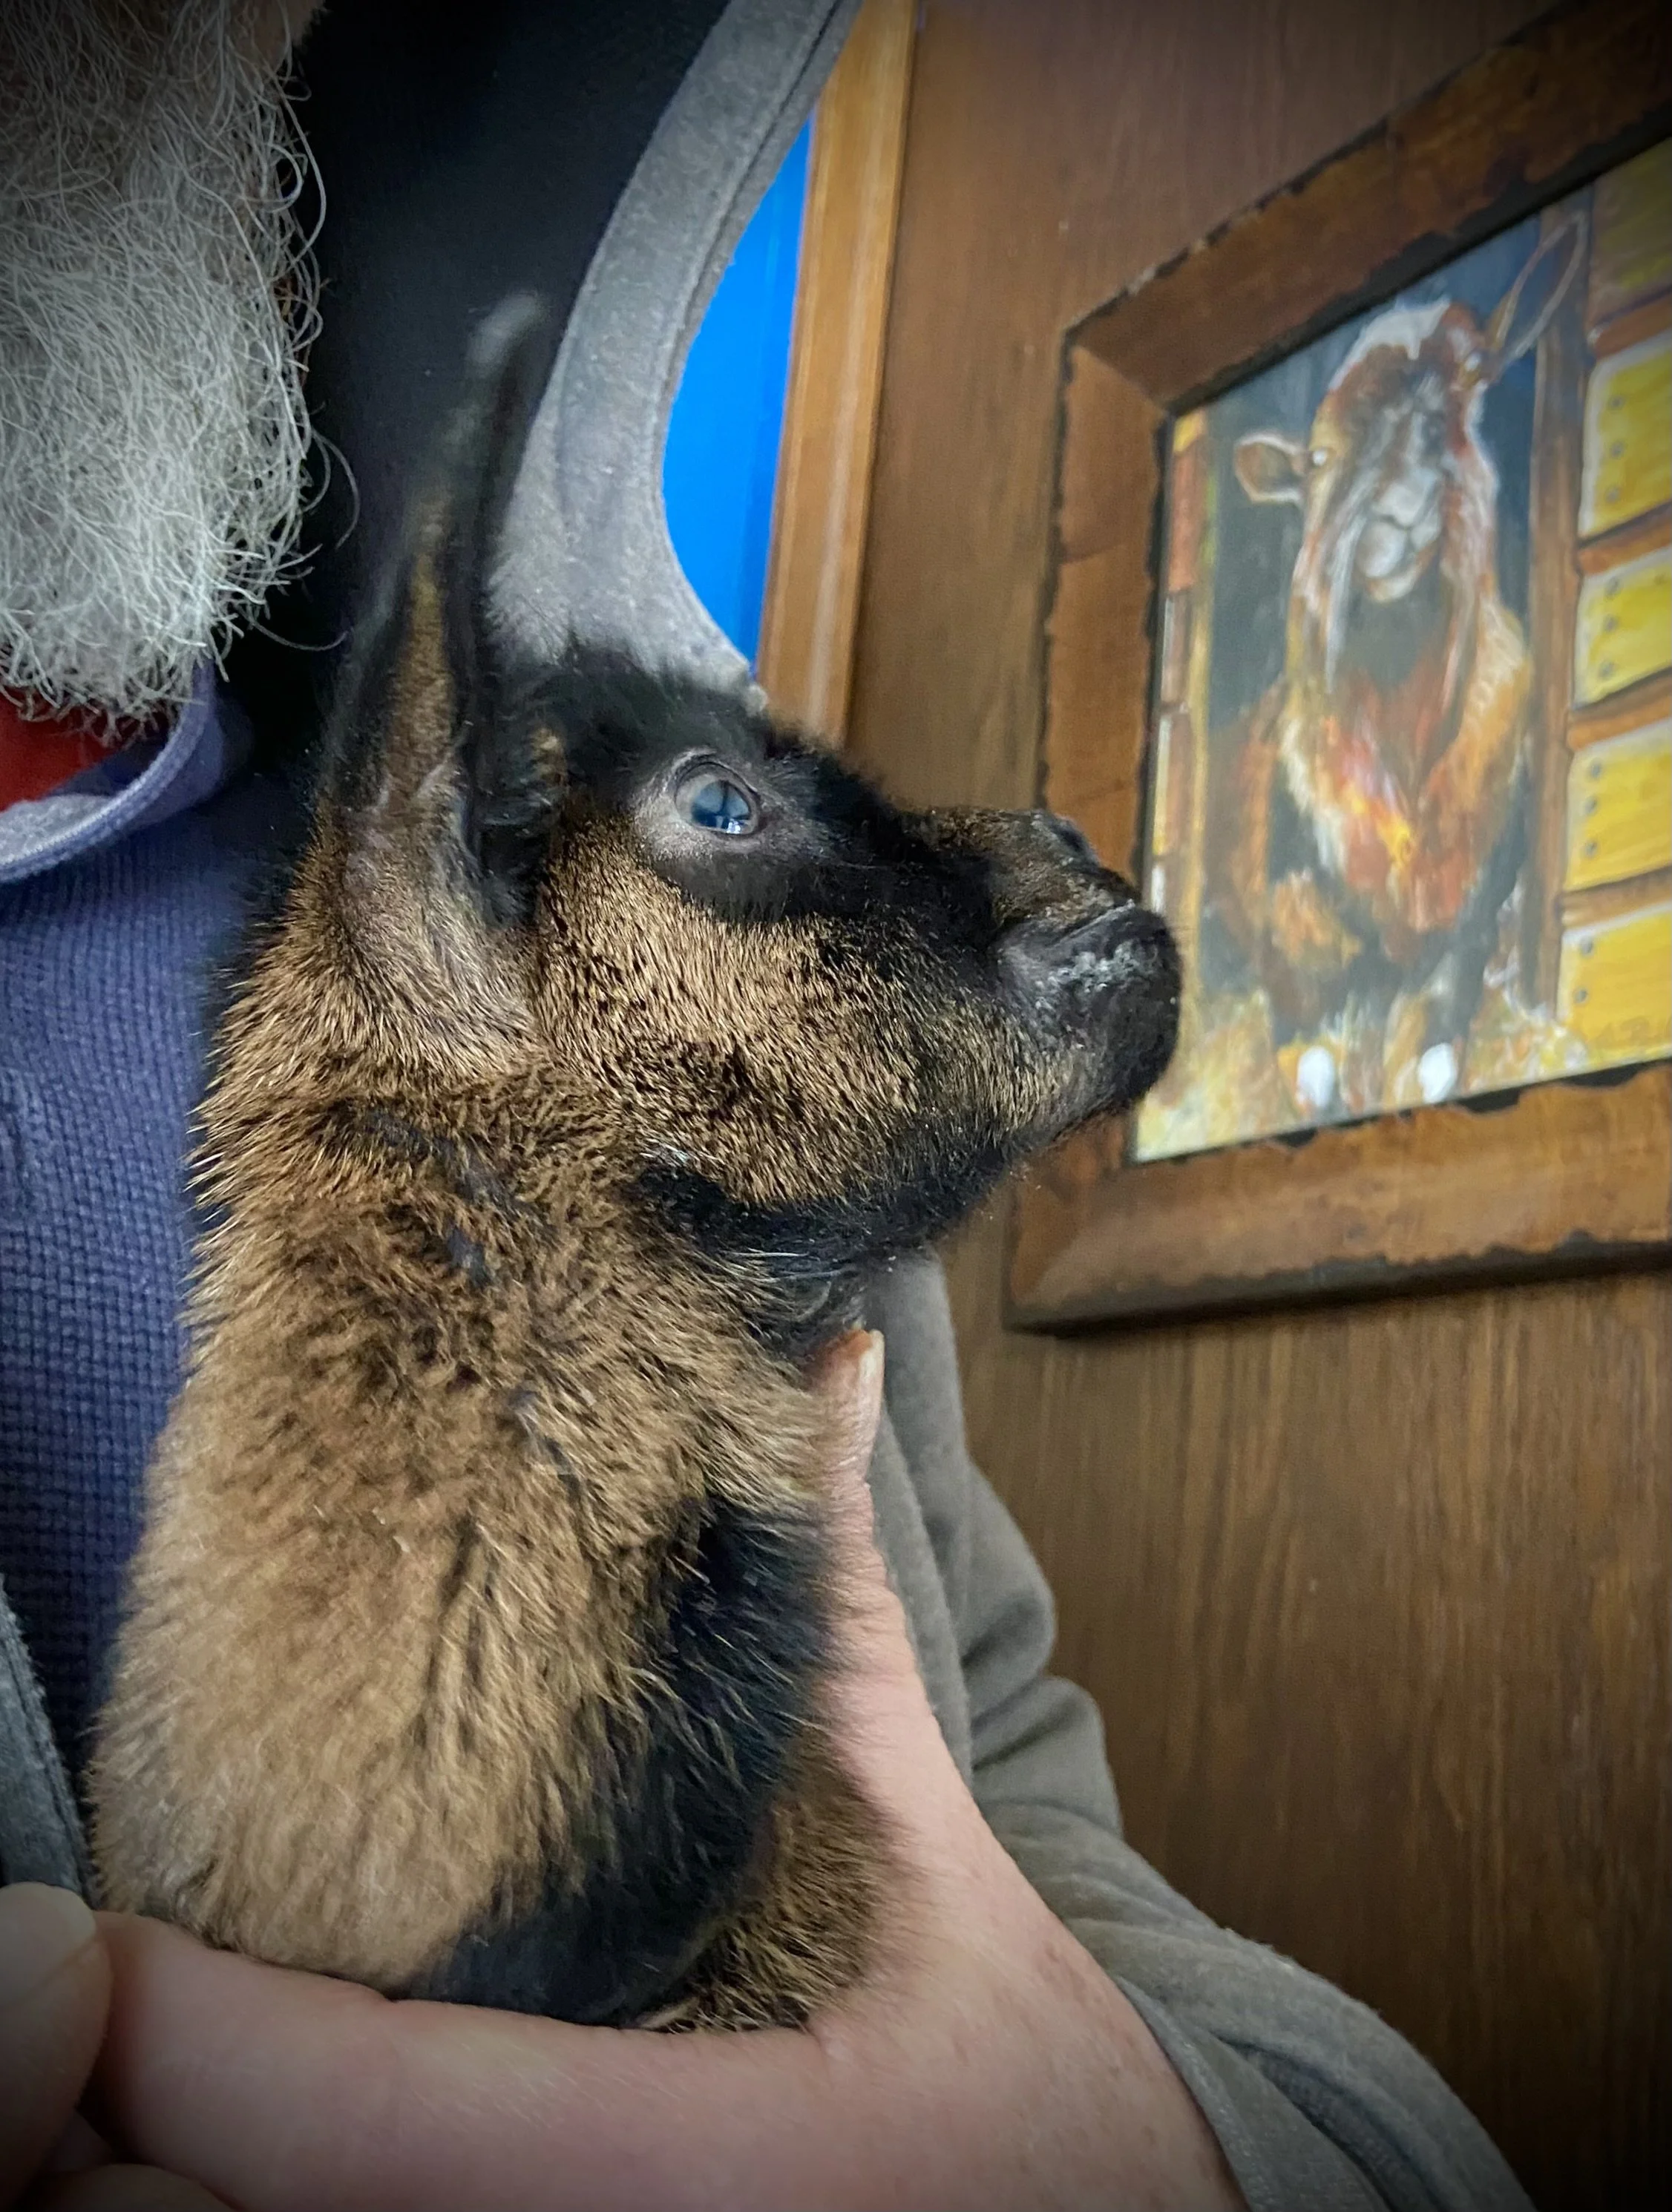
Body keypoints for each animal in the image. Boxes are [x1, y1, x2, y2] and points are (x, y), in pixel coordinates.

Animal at [1211, 217, 1584, 1117]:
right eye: (1316, 460)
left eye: (1474, 375)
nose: (1403, 512)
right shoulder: (1295, 960)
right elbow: (1318, 1073)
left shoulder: (1462, 936)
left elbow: (1432, 1064)